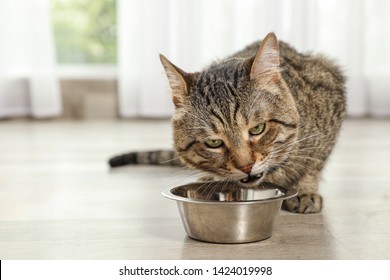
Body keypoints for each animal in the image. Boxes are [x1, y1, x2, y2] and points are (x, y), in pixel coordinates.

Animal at [109, 32, 344, 212]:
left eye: (257, 129)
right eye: (214, 143)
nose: (246, 166)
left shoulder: (332, 86)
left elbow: (314, 164)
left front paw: (305, 190)